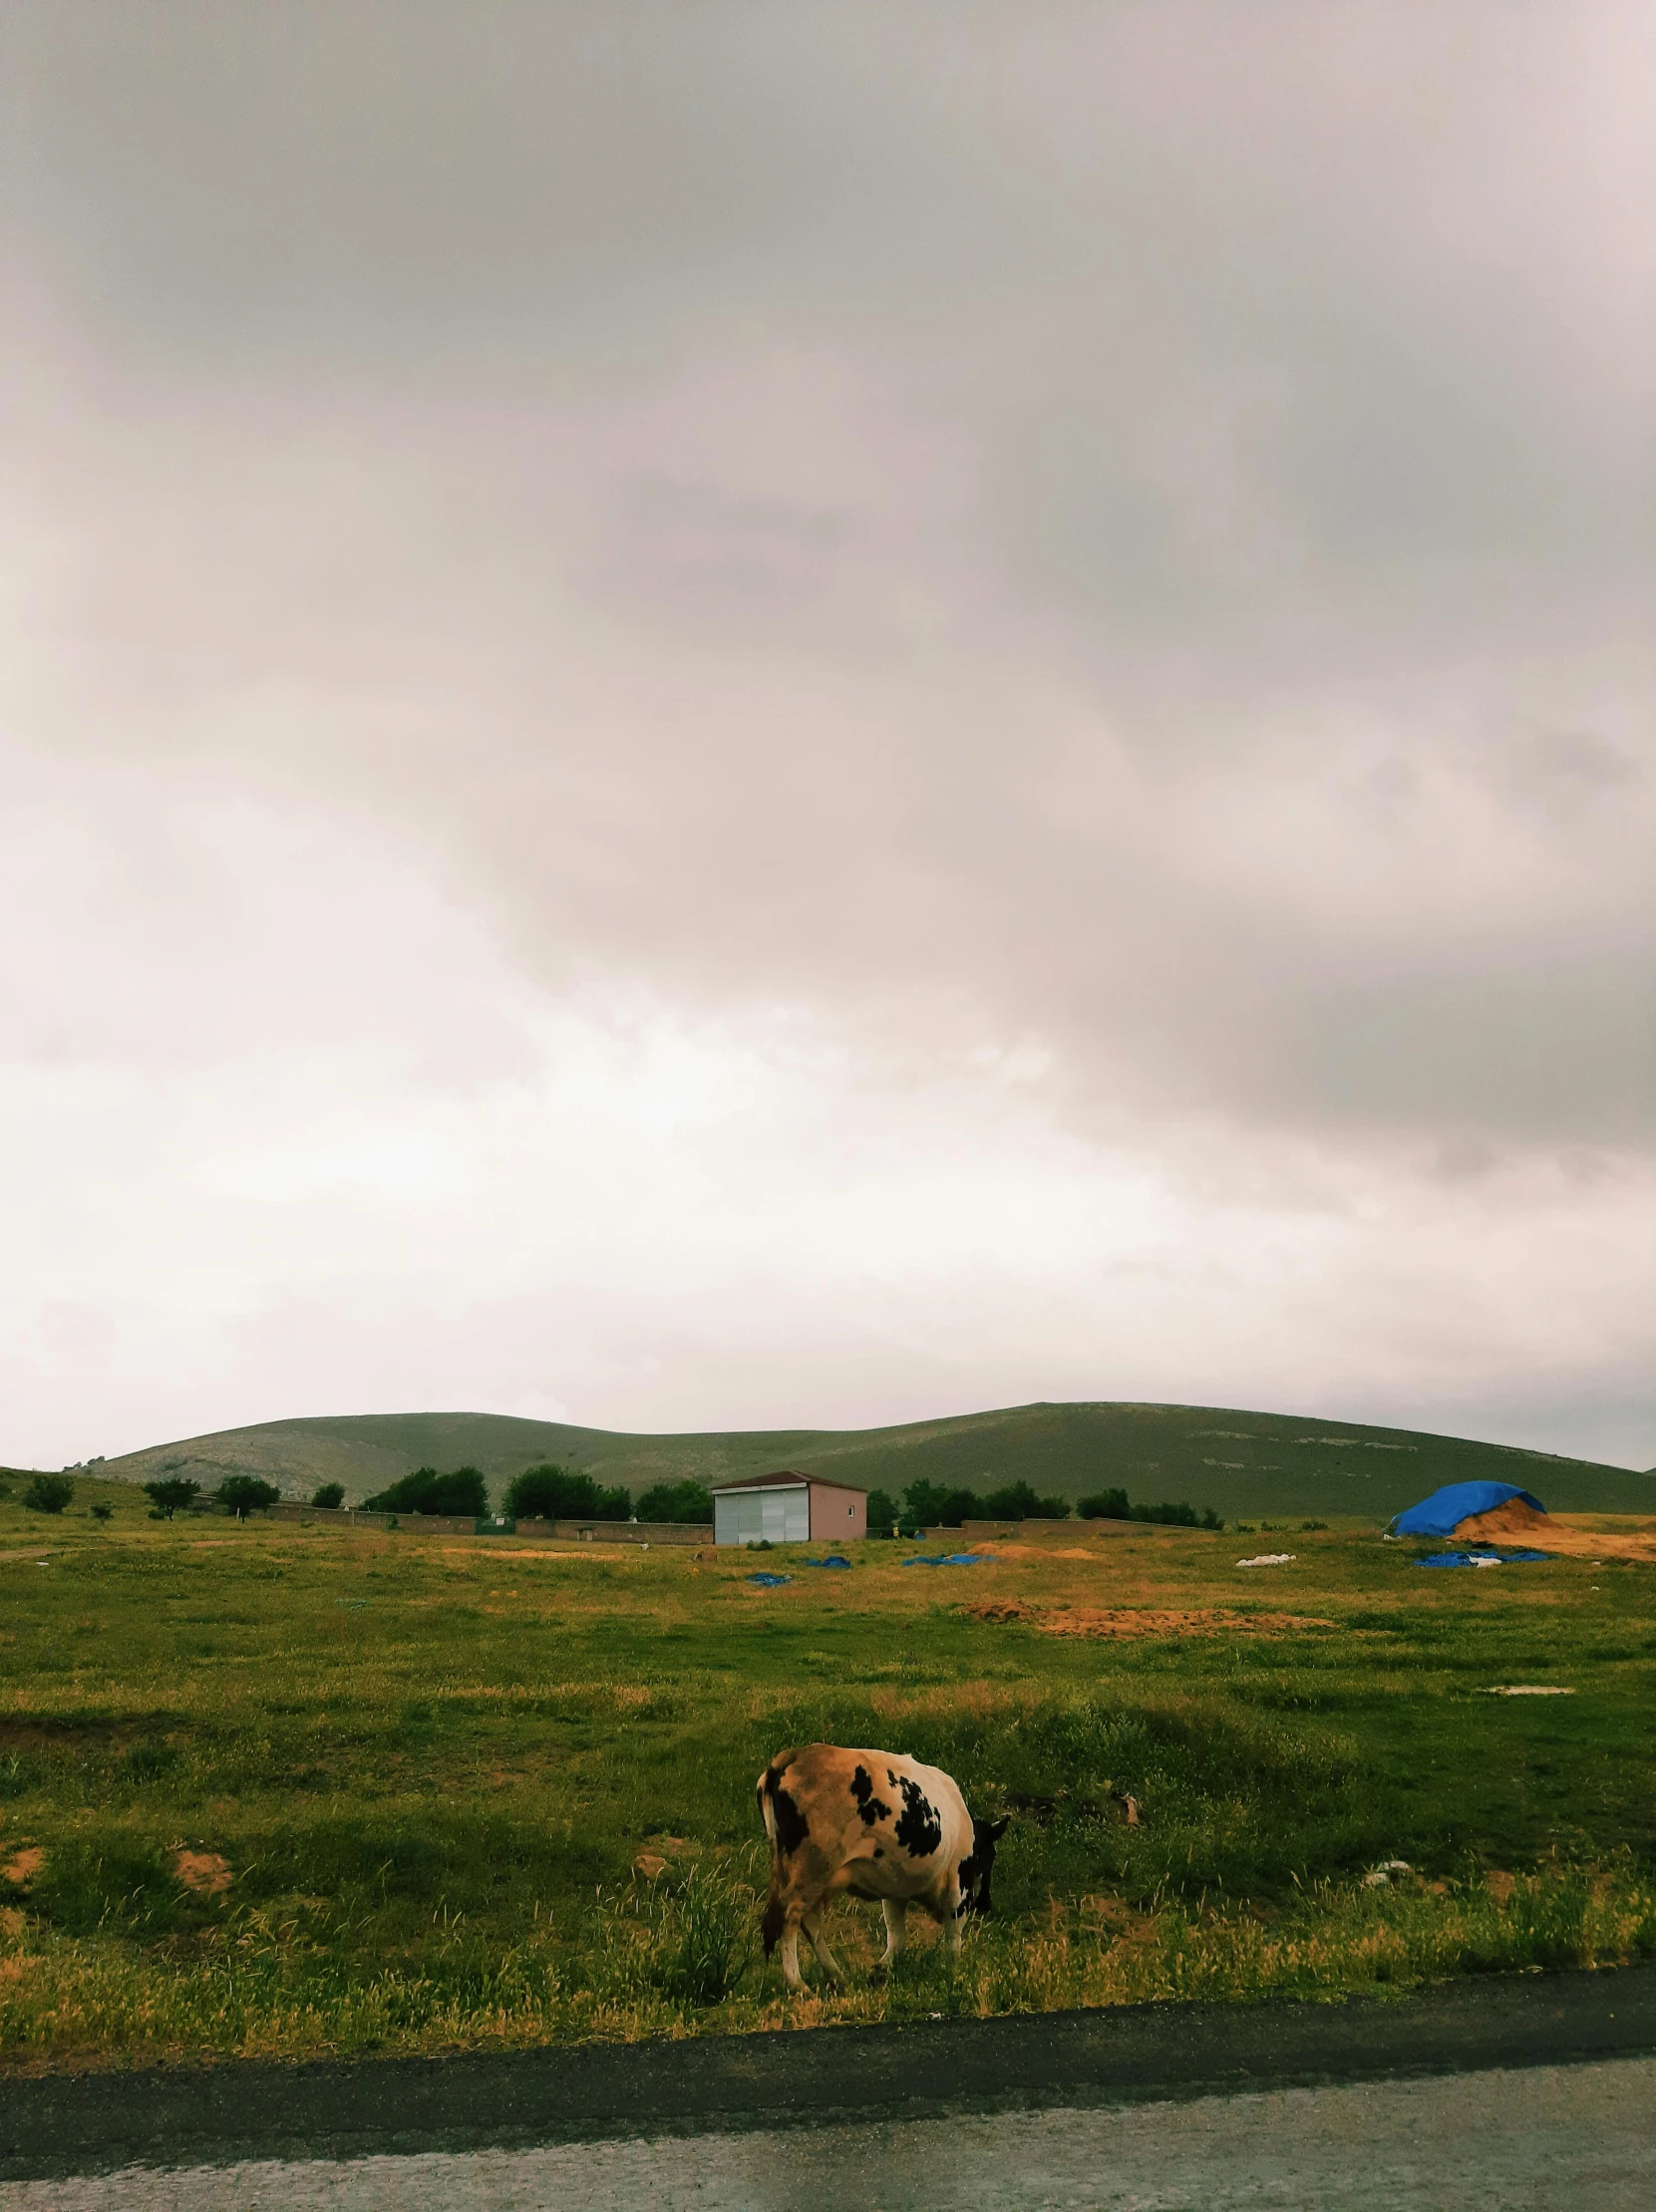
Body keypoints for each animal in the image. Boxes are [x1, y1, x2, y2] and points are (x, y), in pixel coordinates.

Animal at [751, 1734, 1008, 1999]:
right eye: (990, 1857)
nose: (986, 1904)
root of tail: (794, 1756)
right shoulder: (959, 1884)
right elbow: (953, 1936)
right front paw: (953, 1975)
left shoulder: (895, 1887)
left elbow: (896, 1933)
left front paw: (881, 1970)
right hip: (812, 1869)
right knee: (789, 1918)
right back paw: (797, 1983)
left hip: (807, 1875)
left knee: (810, 1923)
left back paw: (836, 1977)